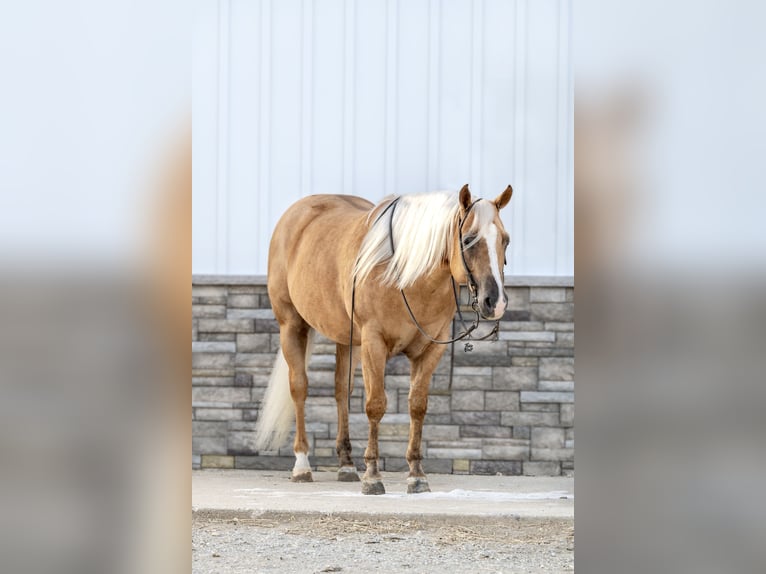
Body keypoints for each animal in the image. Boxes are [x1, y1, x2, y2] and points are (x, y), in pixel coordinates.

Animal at [255, 184, 512, 496]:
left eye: (505, 241)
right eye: (468, 239)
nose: (495, 302)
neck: (407, 276)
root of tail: (294, 215)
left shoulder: (430, 349)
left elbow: (417, 406)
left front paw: (416, 475)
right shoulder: (373, 343)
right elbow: (375, 405)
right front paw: (373, 476)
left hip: (347, 340)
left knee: (341, 391)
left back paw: (346, 465)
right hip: (291, 326)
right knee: (299, 388)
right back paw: (302, 464)